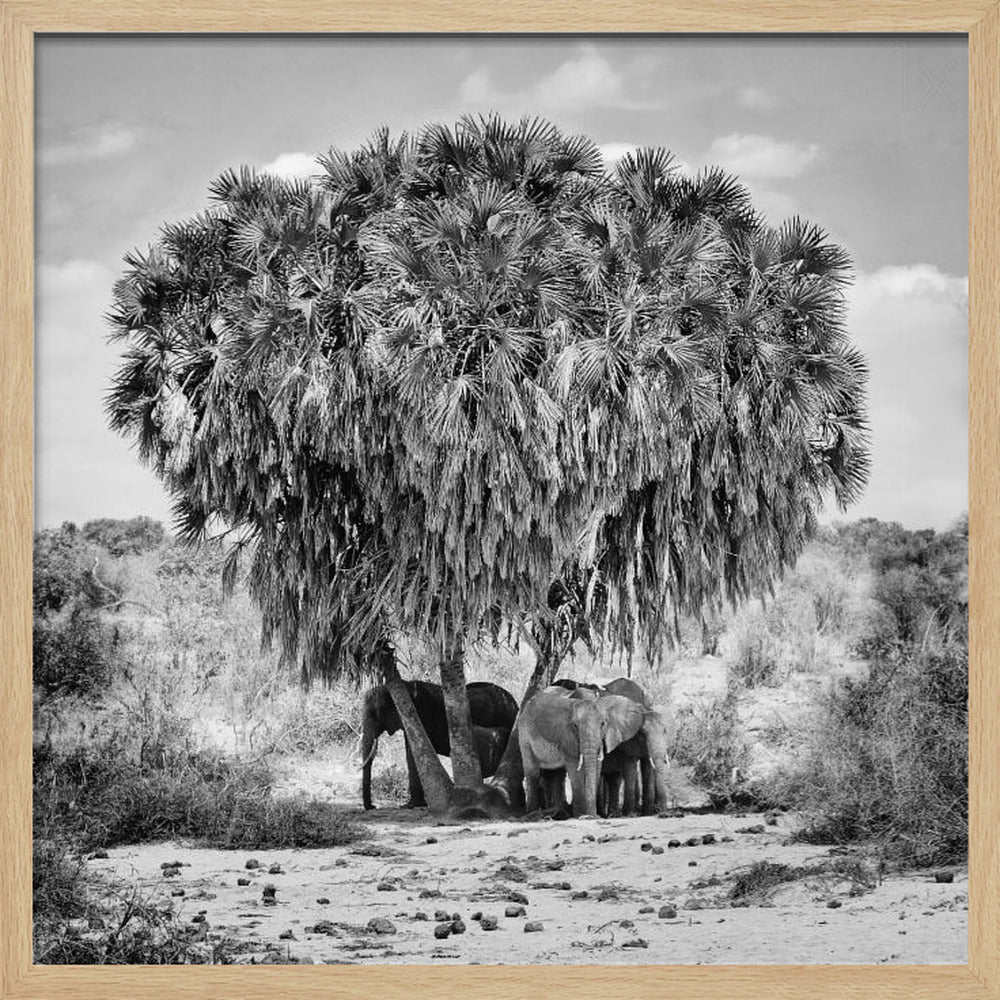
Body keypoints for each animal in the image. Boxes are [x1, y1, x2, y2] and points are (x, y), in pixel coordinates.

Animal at [517, 685, 645, 817]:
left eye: (603, 723)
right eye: (575, 725)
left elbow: (597, 767)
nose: (592, 815)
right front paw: (581, 815)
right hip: (524, 736)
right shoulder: (567, 736)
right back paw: (533, 814)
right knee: (532, 772)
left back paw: (560, 813)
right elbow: (575, 769)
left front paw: (589, 815)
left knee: (557, 774)